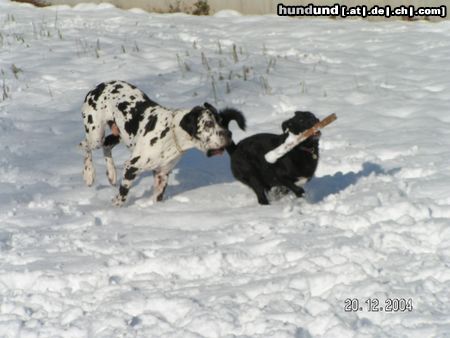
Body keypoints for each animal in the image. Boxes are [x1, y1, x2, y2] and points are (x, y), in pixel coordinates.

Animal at [78, 80, 230, 205]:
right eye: (208, 124)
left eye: (221, 121)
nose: (228, 135)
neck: (171, 134)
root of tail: (97, 87)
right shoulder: (132, 166)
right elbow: (123, 194)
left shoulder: (161, 175)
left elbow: (157, 198)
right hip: (95, 136)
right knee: (84, 144)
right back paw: (89, 174)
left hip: (119, 134)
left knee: (107, 144)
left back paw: (111, 174)